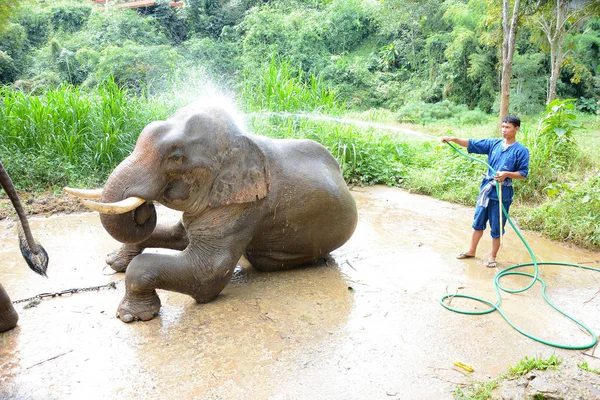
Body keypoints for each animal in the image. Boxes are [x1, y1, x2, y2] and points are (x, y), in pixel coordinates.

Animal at [65, 101, 356, 324]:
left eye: (176, 158)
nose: (144, 208)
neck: (240, 143)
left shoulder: (245, 208)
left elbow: (208, 274)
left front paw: (132, 317)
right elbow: (177, 235)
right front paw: (113, 263)